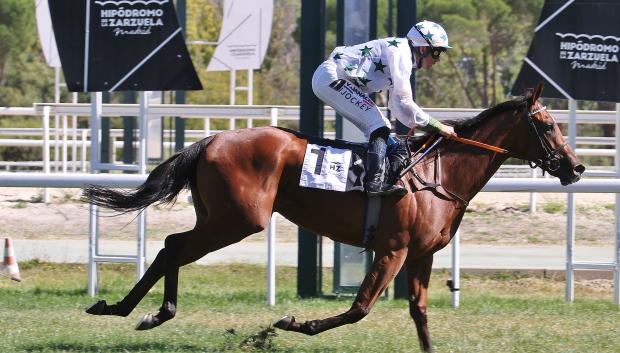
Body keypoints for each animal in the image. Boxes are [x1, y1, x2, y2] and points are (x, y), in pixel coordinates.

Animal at [85, 84, 584, 350]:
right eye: (546, 125)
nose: (576, 167)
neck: (435, 175)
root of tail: (211, 140)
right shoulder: (392, 249)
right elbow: (359, 308)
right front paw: (294, 323)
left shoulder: (421, 255)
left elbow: (420, 312)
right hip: (238, 220)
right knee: (175, 247)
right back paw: (147, 312)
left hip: (220, 218)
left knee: (171, 247)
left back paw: (127, 308)